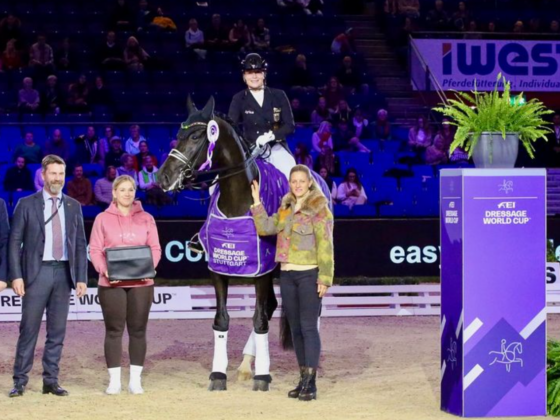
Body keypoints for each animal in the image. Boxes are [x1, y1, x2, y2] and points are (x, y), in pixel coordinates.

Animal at [158, 97, 280, 390]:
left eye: (195, 136)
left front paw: (262, 377)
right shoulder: (218, 270)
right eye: (177, 134)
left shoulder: (261, 271)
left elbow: (259, 320)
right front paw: (218, 374)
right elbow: (221, 320)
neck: (238, 199)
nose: (162, 178)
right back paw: (246, 365)